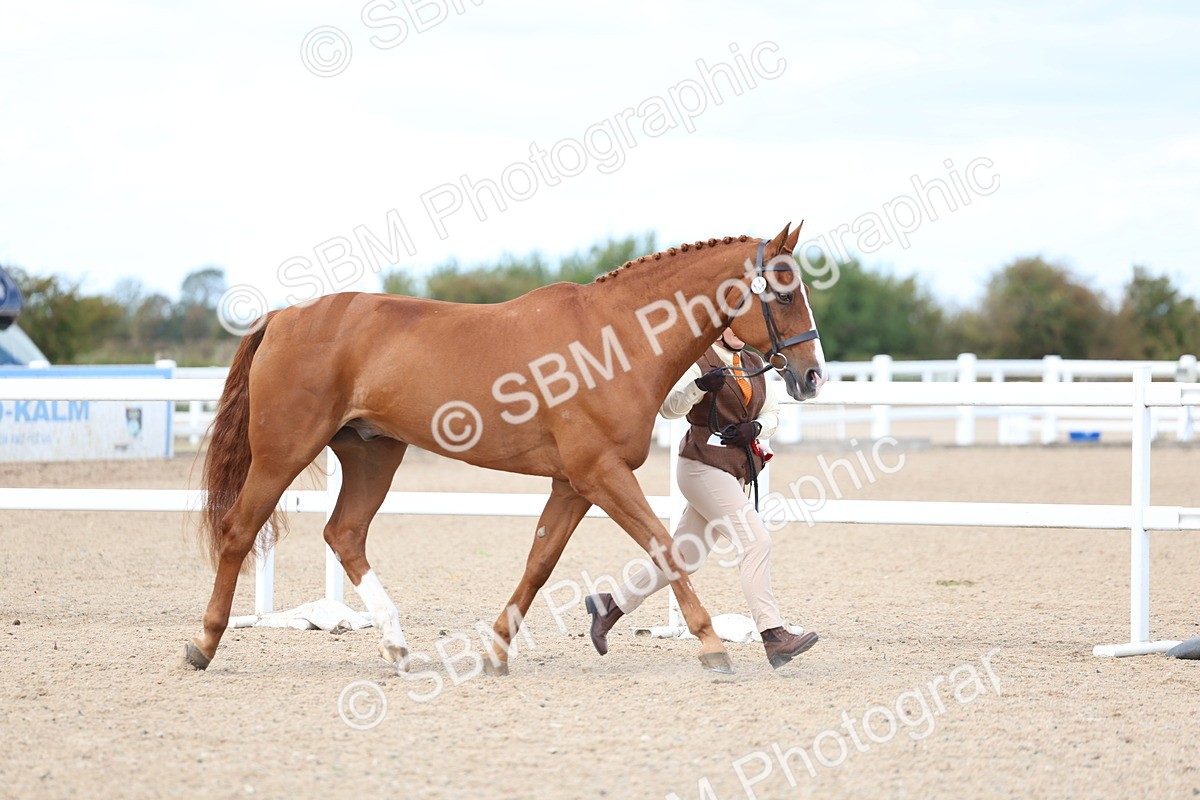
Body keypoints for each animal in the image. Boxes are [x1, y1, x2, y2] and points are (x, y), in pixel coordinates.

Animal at [185, 223, 825, 675]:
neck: (616, 340)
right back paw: (203, 642)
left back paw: (397, 647)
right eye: (783, 293)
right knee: (240, 531)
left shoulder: (574, 483)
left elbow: (540, 563)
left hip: (373, 453)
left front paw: (496, 651)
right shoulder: (601, 475)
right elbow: (664, 549)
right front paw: (713, 644)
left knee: (344, 534)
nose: (813, 376)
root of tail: (283, 316)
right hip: (283, 452)